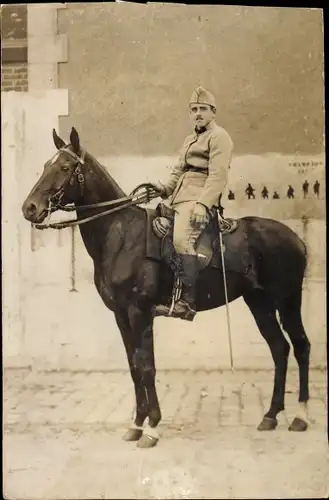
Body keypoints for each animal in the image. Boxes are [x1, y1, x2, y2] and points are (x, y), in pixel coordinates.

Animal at [22, 127, 310, 448]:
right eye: (45, 166)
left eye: (64, 167)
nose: (29, 208)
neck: (121, 234)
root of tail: (295, 238)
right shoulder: (121, 316)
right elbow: (134, 367)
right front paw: (136, 424)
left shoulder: (140, 312)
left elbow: (147, 366)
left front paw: (152, 427)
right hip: (259, 302)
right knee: (279, 348)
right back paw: (271, 415)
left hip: (288, 300)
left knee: (301, 346)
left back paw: (300, 417)